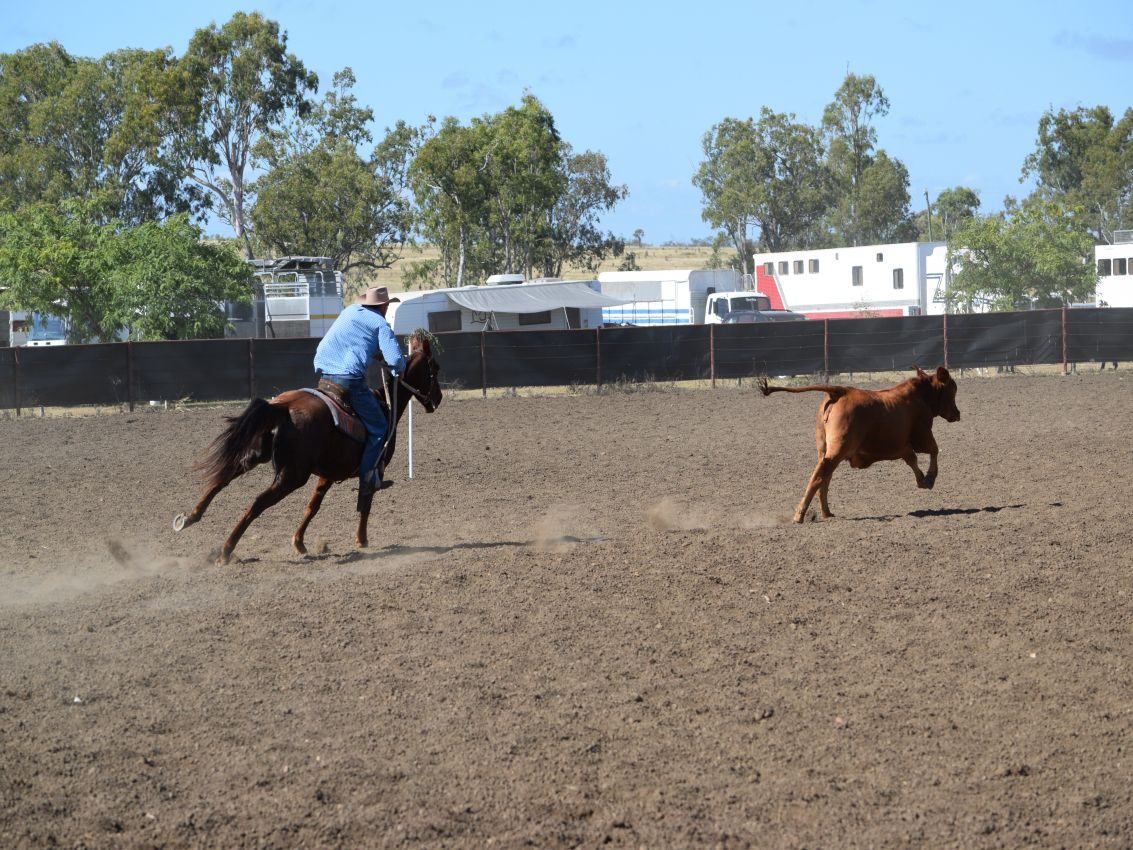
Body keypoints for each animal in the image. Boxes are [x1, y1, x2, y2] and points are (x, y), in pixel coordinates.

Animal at [173, 331, 443, 566]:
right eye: (436, 369)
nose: (438, 399)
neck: (386, 404)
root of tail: (282, 407)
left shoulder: (328, 473)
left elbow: (313, 506)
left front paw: (299, 543)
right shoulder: (375, 468)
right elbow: (365, 503)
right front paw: (362, 540)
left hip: (256, 455)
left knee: (223, 478)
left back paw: (190, 518)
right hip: (292, 475)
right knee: (258, 502)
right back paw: (226, 551)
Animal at [758, 365, 961, 523]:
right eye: (953, 390)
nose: (957, 414)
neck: (921, 395)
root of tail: (840, 391)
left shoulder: (902, 446)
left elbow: (912, 459)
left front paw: (921, 480)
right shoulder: (922, 435)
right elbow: (933, 450)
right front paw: (930, 478)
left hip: (825, 449)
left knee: (825, 477)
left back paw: (826, 513)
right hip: (838, 448)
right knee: (818, 477)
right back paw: (800, 515)